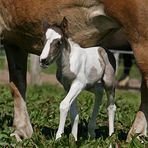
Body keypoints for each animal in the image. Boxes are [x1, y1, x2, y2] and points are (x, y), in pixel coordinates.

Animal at [0, 0, 147, 141]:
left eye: (59, 41)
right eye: (43, 40)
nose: (43, 60)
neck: (68, 62)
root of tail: (107, 51)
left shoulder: (78, 84)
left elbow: (64, 105)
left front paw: (58, 137)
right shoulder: (68, 86)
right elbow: (73, 112)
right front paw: (73, 138)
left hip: (110, 81)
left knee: (111, 106)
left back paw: (116, 136)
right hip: (91, 85)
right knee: (99, 94)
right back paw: (92, 132)